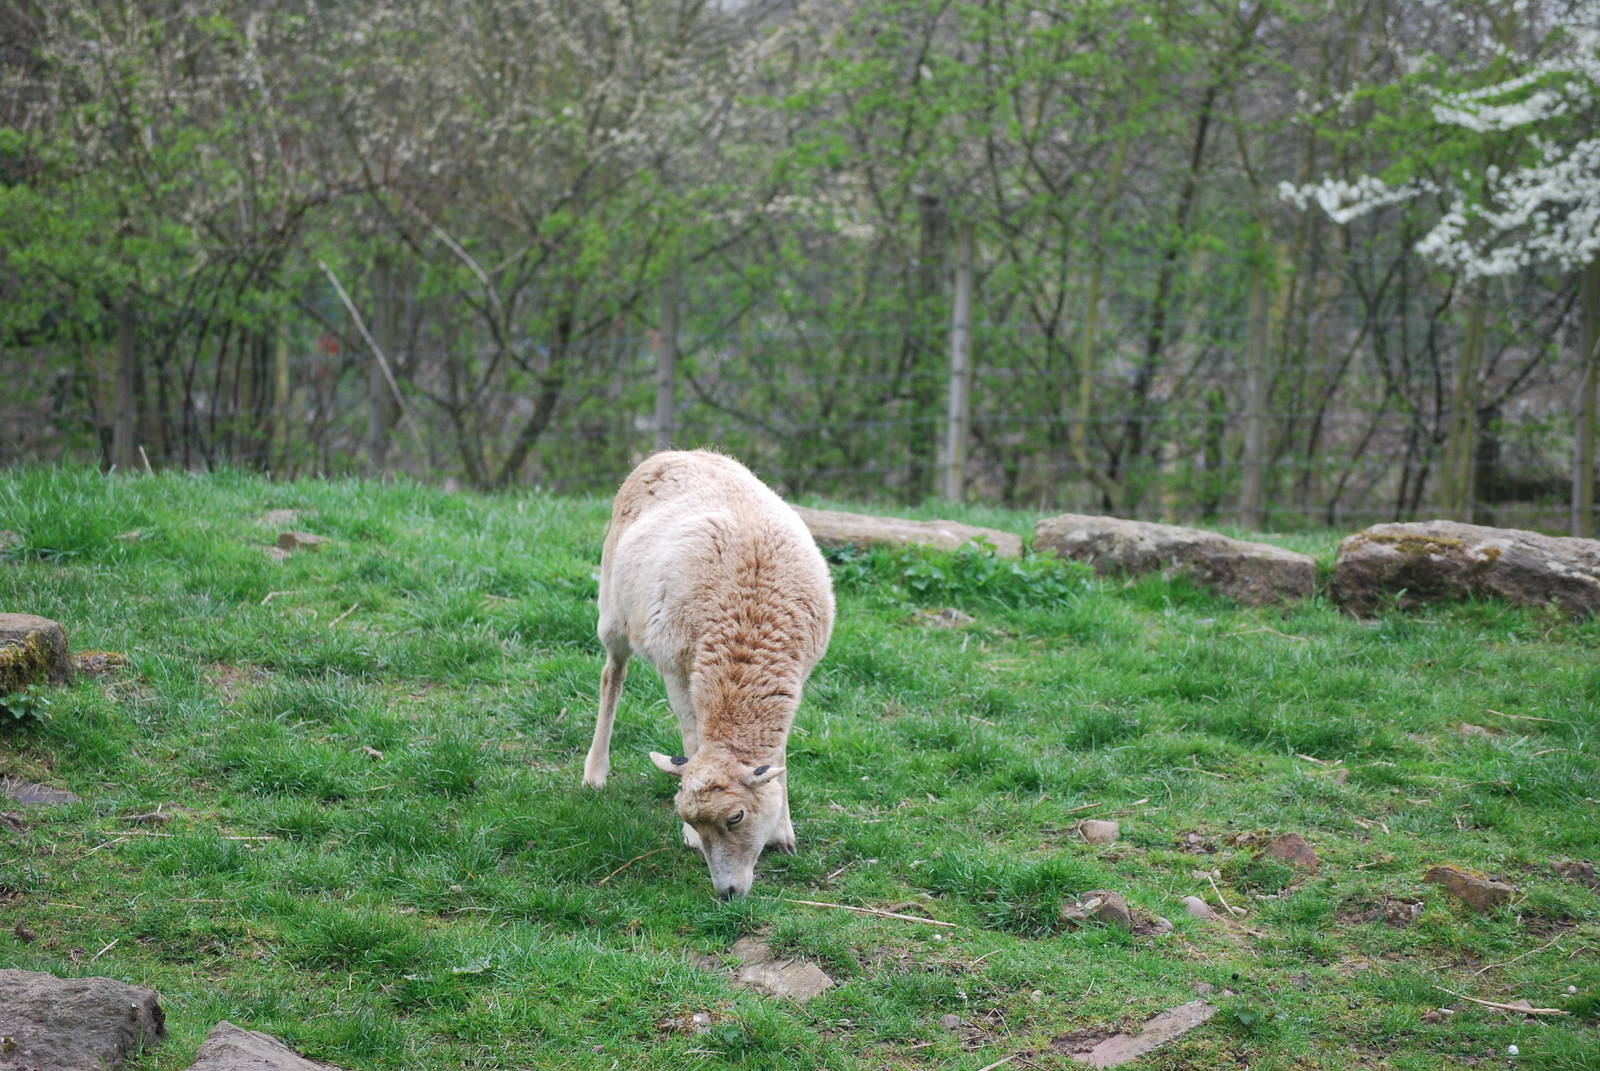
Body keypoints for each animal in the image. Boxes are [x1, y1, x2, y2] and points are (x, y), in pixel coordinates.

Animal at [582, 450, 835, 899]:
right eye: (695, 822)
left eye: (735, 817)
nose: (727, 893)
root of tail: (673, 452)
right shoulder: (677, 663)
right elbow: (691, 734)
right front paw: (689, 838)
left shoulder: (797, 675)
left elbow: (779, 756)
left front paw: (783, 832)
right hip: (613, 609)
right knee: (612, 675)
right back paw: (595, 772)